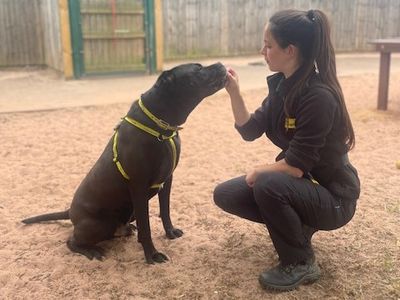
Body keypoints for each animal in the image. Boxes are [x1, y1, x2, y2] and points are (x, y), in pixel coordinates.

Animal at [22, 62, 228, 262]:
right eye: (198, 69)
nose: (221, 63)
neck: (161, 125)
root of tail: (70, 212)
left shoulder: (167, 179)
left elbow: (165, 211)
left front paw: (170, 232)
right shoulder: (138, 187)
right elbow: (146, 227)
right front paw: (152, 255)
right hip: (100, 224)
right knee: (71, 241)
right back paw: (92, 251)